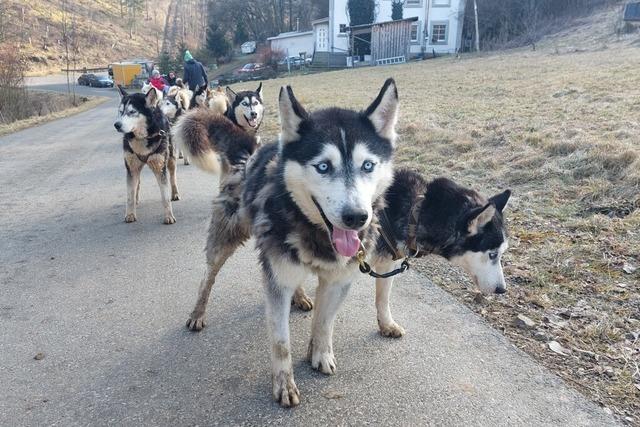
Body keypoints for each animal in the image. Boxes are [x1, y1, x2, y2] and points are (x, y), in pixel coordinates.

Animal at [114, 84, 179, 224]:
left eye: (132, 112)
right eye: (120, 111)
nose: (116, 125)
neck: (142, 137)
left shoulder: (160, 167)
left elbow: (165, 196)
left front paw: (169, 216)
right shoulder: (131, 167)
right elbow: (130, 195)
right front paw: (130, 213)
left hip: (170, 159)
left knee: (173, 177)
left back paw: (175, 193)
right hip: (136, 166)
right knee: (137, 183)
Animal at [182, 78, 400, 406]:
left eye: (368, 166)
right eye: (323, 167)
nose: (356, 217)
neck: (315, 232)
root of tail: (251, 153)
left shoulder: (337, 280)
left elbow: (324, 323)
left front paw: (319, 353)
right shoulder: (277, 285)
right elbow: (280, 341)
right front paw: (284, 384)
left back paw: (300, 296)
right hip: (226, 239)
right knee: (208, 275)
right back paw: (198, 312)